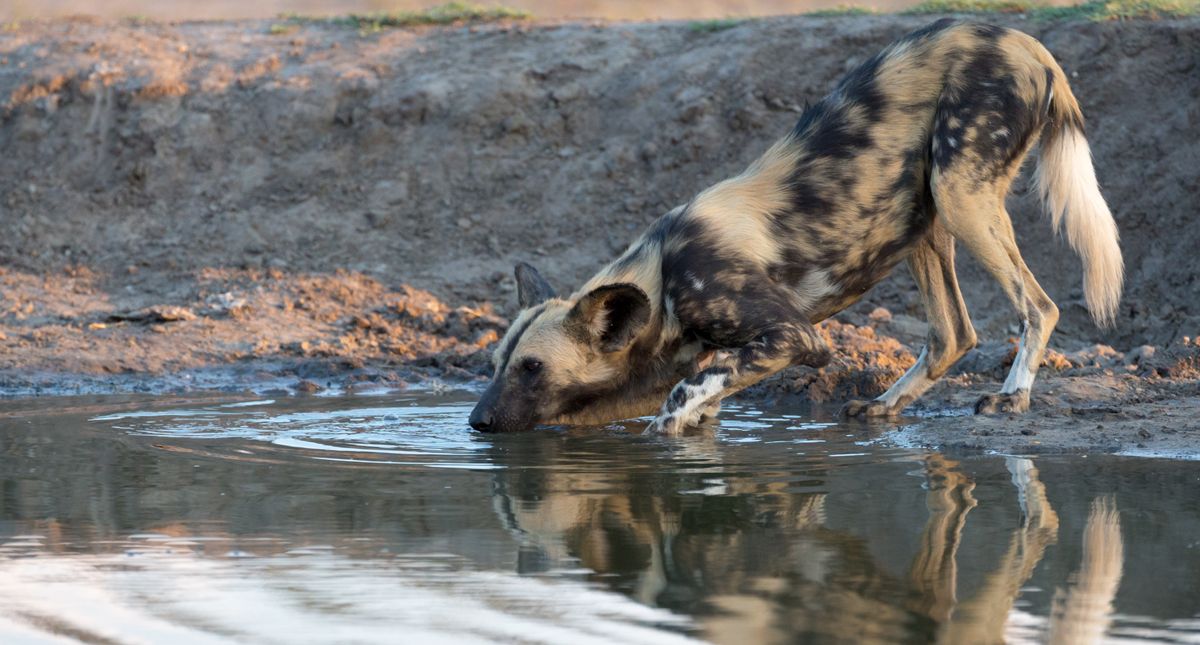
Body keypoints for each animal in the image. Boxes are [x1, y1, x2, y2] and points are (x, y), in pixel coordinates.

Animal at [465, 18, 1113, 431]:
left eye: (532, 369)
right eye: (496, 365)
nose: (477, 419)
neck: (663, 275)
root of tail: (1029, 43)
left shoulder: (794, 337)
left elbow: (678, 401)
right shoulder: (739, 354)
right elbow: (705, 395)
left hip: (960, 195)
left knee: (1039, 306)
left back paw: (1012, 398)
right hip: (927, 216)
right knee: (953, 333)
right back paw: (884, 405)